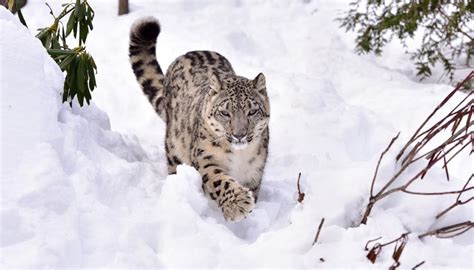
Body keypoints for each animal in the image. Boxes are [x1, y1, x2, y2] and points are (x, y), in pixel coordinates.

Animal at [129, 17, 270, 221]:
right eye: (225, 113)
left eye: (252, 112)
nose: (239, 135)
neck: (240, 156)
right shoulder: (206, 159)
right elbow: (219, 180)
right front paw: (237, 205)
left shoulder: (254, 172)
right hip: (174, 150)